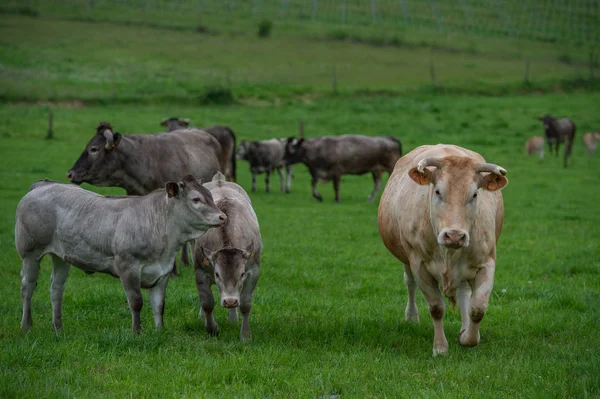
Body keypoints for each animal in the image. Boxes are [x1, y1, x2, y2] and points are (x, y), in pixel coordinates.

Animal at [16, 177, 227, 332]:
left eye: (210, 195)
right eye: (196, 199)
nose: (222, 216)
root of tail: (43, 185)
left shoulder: (163, 271)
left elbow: (159, 305)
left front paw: (160, 331)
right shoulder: (127, 266)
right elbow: (136, 302)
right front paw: (137, 332)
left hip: (60, 256)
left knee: (56, 288)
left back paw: (58, 327)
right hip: (30, 252)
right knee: (27, 287)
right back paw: (26, 326)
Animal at [193, 173, 262, 342]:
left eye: (242, 274)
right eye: (217, 274)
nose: (230, 301)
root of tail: (219, 179)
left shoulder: (254, 271)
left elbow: (245, 304)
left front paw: (245, 335)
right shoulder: (200, 271)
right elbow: (207, 302)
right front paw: (212, 328)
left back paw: (232, 319)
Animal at [378, 145, 508, 358]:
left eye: (475, 194)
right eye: (438, 191)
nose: (454, 236)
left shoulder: (487, 262)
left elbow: (477, 308)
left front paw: (468, 337)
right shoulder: (419, 264)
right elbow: (437, 308)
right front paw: (440, 348)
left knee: (464, 293)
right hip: (406, 258)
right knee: (409, 283)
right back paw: (411, 316)